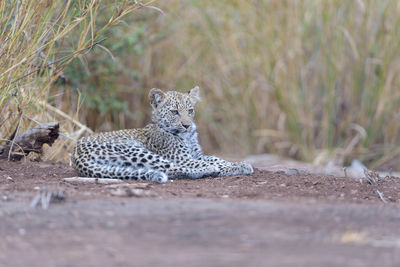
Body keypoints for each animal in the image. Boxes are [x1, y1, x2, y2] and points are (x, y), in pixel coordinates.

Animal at [71, 87, 253, 183]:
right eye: (174, 112)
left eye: (190, 110)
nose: (187, 125)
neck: (187, 136)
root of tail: (76, 154)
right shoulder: (183, 158)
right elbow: (206, 162)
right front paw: (229, 167)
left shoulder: (196, 154)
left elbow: (216, 158)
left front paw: (238, 164)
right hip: (135, 150)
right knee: (170, 168)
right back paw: (206, 170)